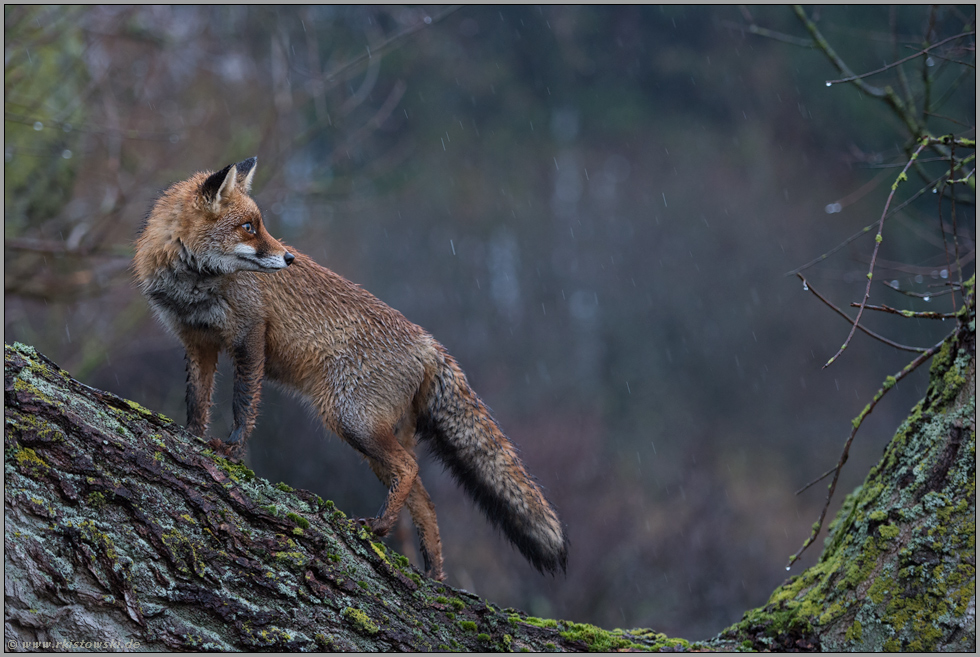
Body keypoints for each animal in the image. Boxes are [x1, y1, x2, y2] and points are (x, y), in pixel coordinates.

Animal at [133, 157, 567, 581]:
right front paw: (191, 435)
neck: (194, 284)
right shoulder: (198, 342)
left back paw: (379, 529)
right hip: (373, 432)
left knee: (409, 470)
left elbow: (244, 404)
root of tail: (430, 344)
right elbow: (198, 401)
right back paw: (434, 574)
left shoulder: (250, 333)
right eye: (248, 227)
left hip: (350, 419)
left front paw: (232, 449)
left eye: (260, 225)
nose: (289, 258)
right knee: (424, 498)